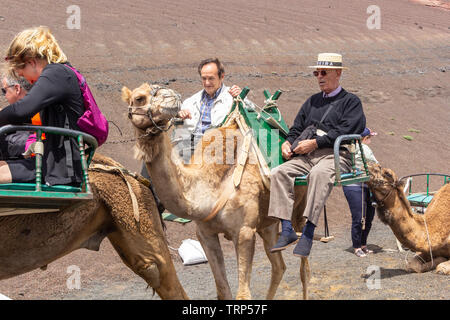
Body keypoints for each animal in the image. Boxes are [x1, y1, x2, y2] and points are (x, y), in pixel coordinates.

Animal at [121, 83, 310, 300]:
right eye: (139, 98)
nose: (172, 96)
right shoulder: (205, 233)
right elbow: (222, 289)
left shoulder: (244, 231)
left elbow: (243, 294)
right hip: (267, 222)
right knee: (279, 266)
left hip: (299, 204)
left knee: (303, 264)